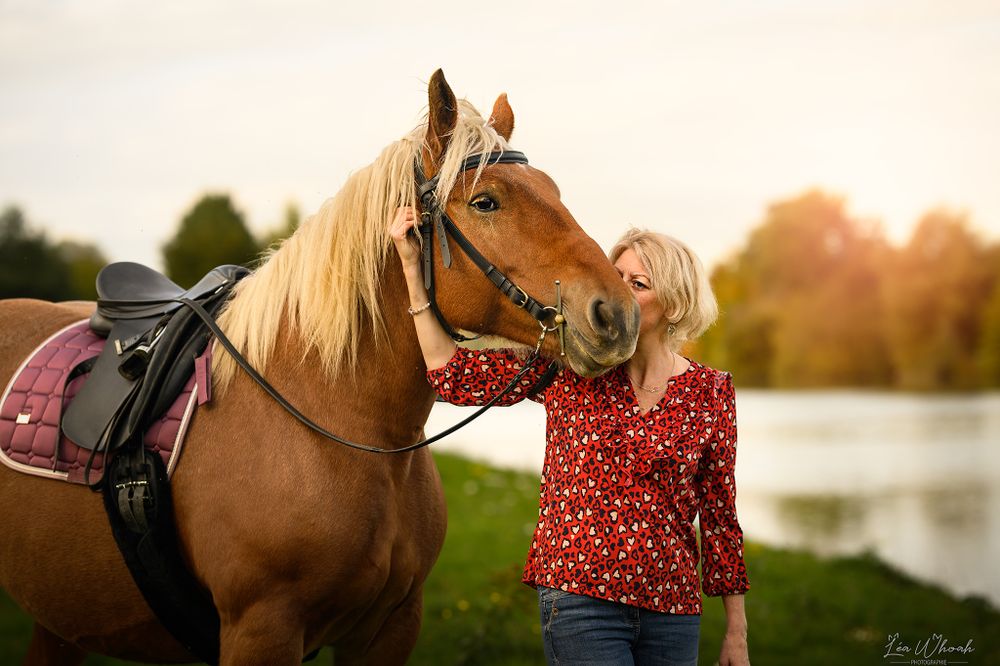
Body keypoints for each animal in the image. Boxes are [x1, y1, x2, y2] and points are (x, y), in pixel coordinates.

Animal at [0, 69, 640, 665]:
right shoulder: (262, 631)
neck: (340, 423)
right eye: (486, 201)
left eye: (553, 190)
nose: (618, 313)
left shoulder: (389, 628)